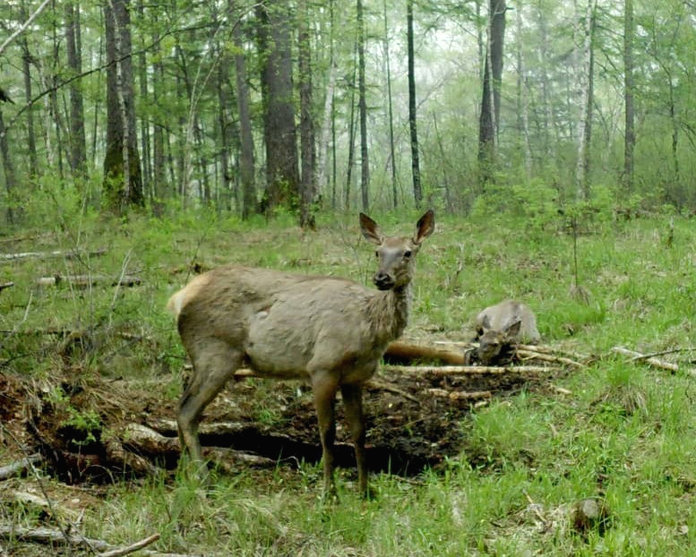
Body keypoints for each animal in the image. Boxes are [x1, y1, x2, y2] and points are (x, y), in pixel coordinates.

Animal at [167, 210, 436, 496]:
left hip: (206, 356)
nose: (382, 278)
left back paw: (185, 475)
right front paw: (329, 493)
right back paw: (202, 480)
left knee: (181, 408)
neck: (369, 326)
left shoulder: (355, 378)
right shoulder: (322, 367)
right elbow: (327, 433)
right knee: (187, 411)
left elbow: (359, 432)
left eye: (407, 252)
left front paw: (365, 492)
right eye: (378, 252)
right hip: (216, 352)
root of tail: (179, 298)